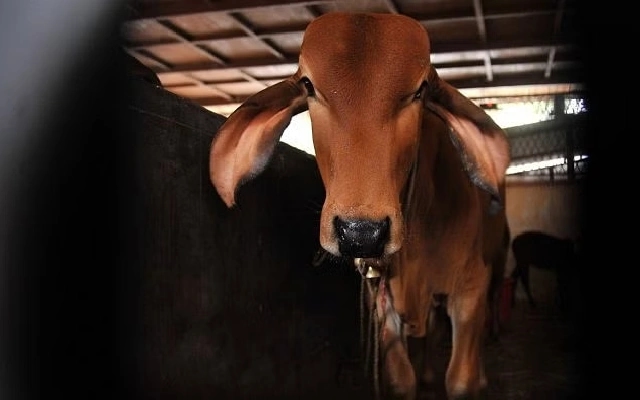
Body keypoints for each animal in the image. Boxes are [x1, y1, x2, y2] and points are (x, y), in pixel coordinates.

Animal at [208, 12, 511, 400]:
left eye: (420, 90)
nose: (361, 233)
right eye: (308, 85)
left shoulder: (470, 288)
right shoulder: (382, 301)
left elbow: (460, 380)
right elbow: (401, 380)